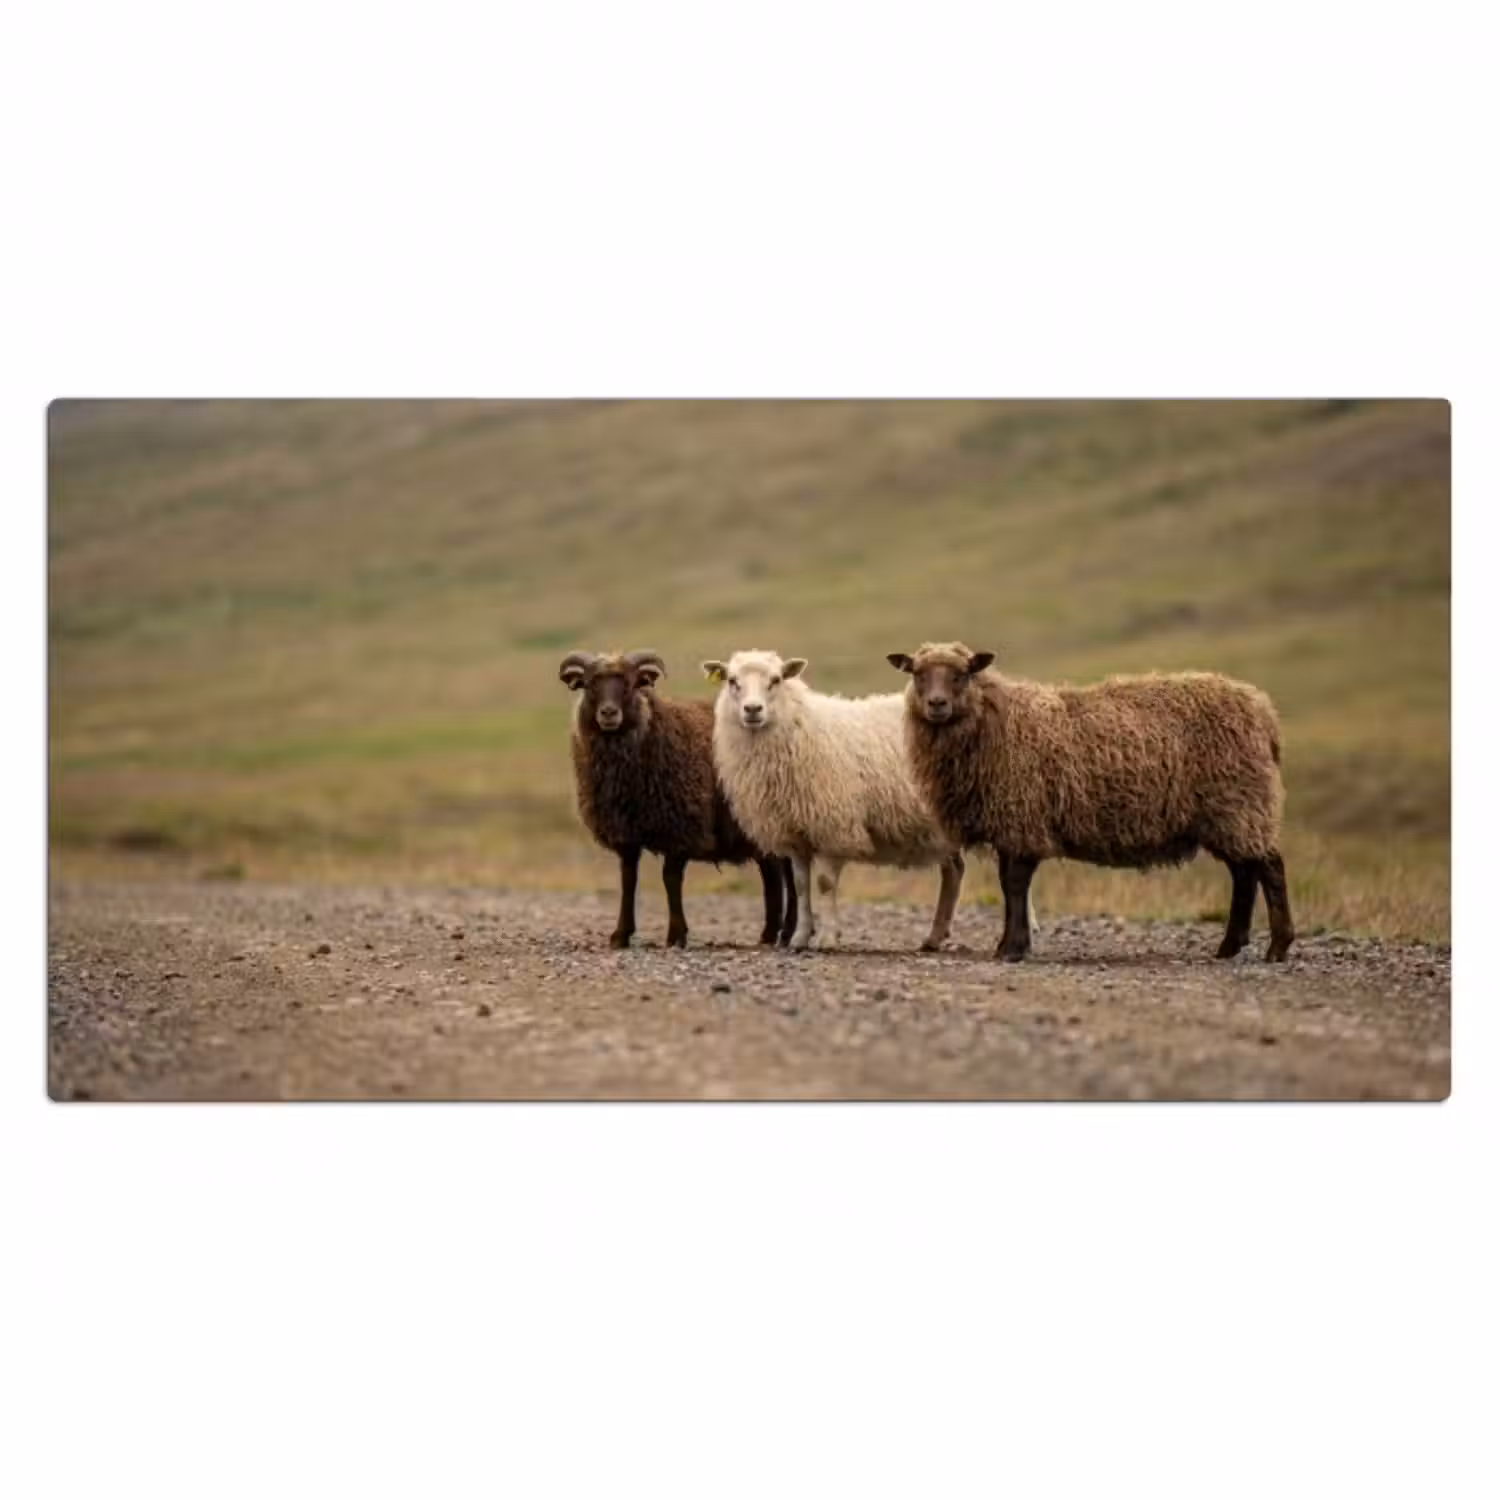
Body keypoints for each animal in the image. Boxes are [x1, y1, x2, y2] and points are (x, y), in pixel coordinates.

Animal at [558, 649, 795, 949]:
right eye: (588, 685)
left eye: (632, 684)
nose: (609, 713)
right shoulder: (626, 833)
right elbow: (628, 879)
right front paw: (621, 934)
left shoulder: (681, 827)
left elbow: (670, 879)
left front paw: (676, 935)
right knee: (772, 874)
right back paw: (769, 934)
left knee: (789, 874)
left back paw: (787, 932)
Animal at [702, 649, 969, 953]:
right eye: (732, 681)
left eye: (776, 680)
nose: (752, 710)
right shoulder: (796, 833)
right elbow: (800, 885)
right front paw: (799, 938)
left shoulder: (832, 825)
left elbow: (824, 883)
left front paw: (828, 938)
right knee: (953, 870)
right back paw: (934, 938)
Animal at [887, 642, 1294, 963]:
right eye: (918, 674)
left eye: (962, 674)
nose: (936, 703)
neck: (995, 723)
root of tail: (1264, 713)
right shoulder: (1010, 825)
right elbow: (1008, 887)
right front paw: (1009, 944)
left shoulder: (1023, 820)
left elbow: (1015, 886)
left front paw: (1012, 949)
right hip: (1230, 814)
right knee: (1244, 873)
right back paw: (1230, 946)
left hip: (1240, 803)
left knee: (1269, 868)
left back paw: (1278, 947)